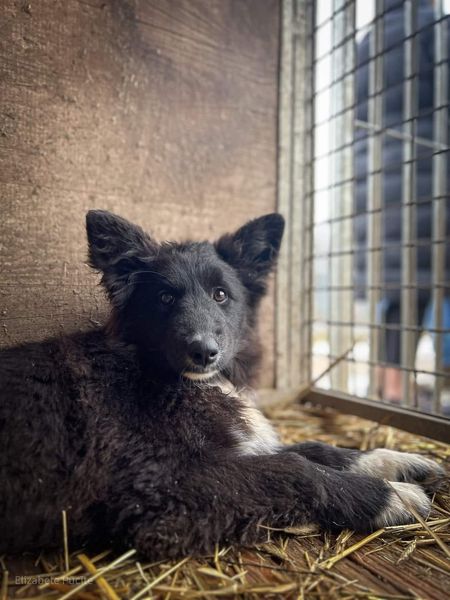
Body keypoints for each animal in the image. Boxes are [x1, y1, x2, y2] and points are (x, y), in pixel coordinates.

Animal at [0, 210, 445, 558]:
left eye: (220, 295)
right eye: (164, 298)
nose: (203, 351)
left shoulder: (239, 445)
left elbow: (312, 449)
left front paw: (390, 460)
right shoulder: (158, 484)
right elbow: (295, 467)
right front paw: (390, 496)